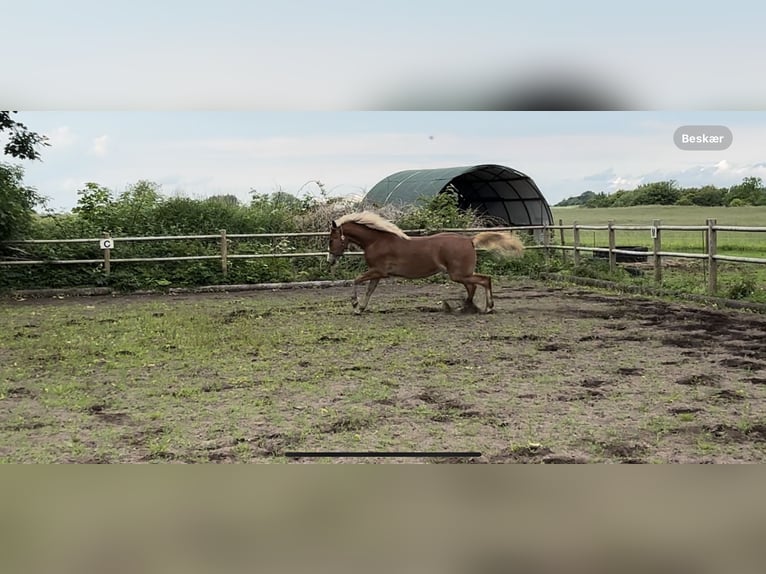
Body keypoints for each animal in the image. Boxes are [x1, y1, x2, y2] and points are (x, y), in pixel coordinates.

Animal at [328, 213, 524, 316]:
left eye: (331, 240)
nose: (330, 260)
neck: (377, 241)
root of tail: (470, 240)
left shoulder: (378, 271)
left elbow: (355, 280)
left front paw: (355, 305)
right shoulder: (377, 274)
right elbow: (369, 290)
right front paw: (360, 308)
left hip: (458, 274)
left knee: (484, 280)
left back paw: (487, 307)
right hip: (461, 274)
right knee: (473, 287)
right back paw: (465, 307)